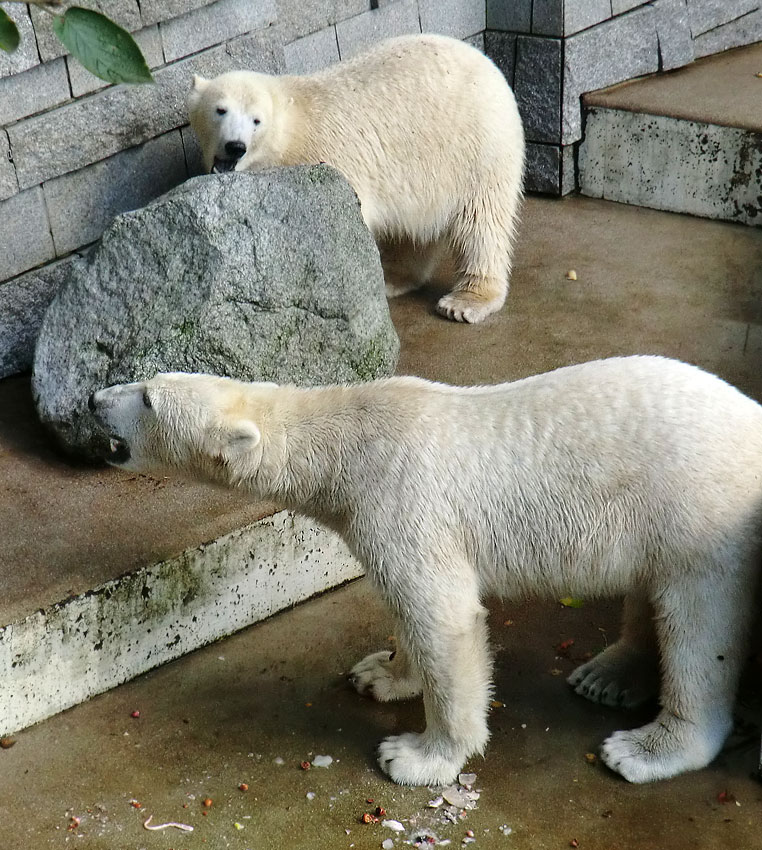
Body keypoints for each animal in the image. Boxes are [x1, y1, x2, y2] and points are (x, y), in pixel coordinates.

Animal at [87, 354, 760, 784]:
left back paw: (648, 747)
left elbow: (445, 618)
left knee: (698, 625)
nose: (94, 398)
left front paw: (417, 757)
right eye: (149, 377)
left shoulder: (401, 499)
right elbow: (405, 609)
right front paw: (381, 673)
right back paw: (609, 675)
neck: (347, 439)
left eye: (147, 397)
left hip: (699, 508)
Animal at [187, 35, 524, 324]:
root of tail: (491, 67)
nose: (235, 146)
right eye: (220, 110)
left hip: (477, 148)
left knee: (481, 223)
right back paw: (393, 277)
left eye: (256, 120)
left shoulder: (330, 160)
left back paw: (466, 301)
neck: (294, 130)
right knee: (411, 229)